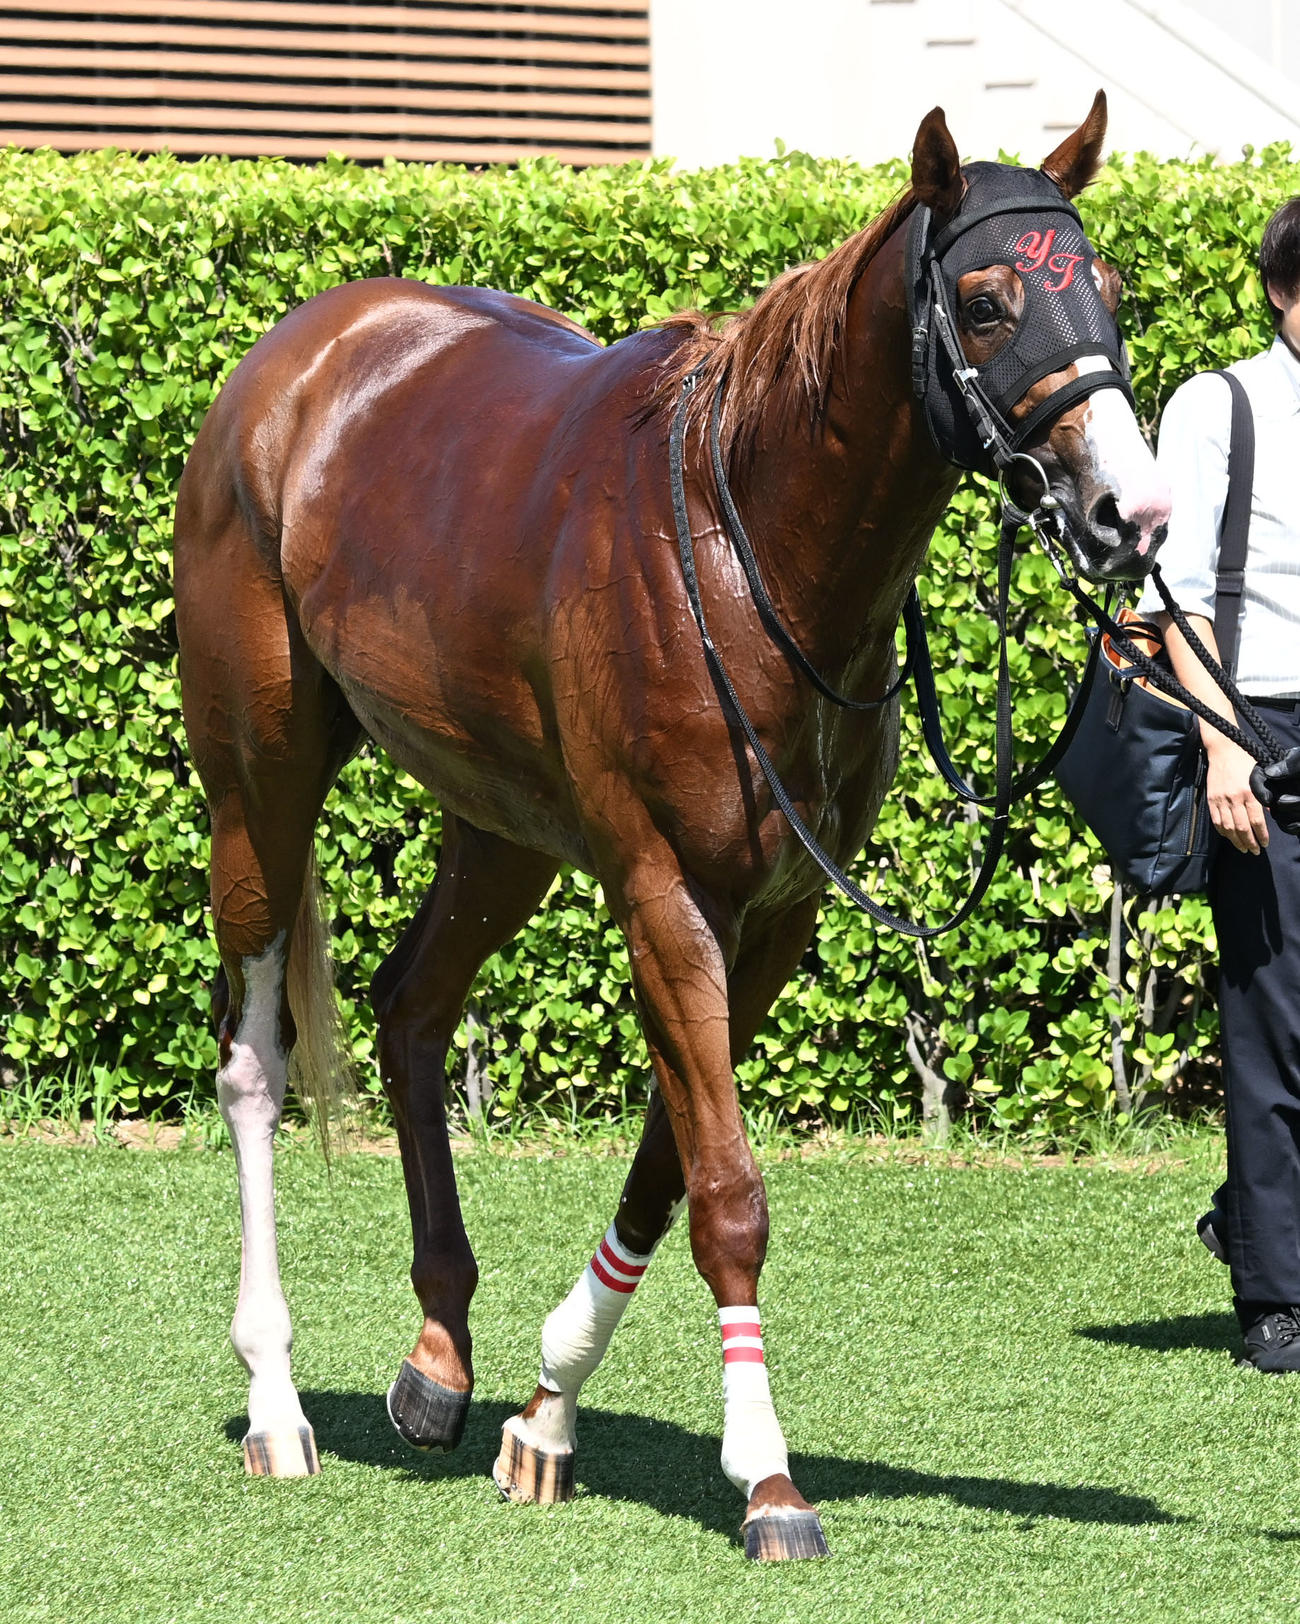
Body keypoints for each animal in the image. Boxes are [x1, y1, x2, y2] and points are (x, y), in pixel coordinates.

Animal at [173, 92, 1170, 1561]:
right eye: (987, 303)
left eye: (1102, 286)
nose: (1130, 516)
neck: (742, 545)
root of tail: (294, 357)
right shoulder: (661, 889)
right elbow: (730, 1192)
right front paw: (767, 1477)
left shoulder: (773, 915)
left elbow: (670, 1163)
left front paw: (545, 1412)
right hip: (258, 779)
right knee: (253, 1065)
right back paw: (274, 1399)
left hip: (505, 825)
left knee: (413, 1010)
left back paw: (438, 1360)